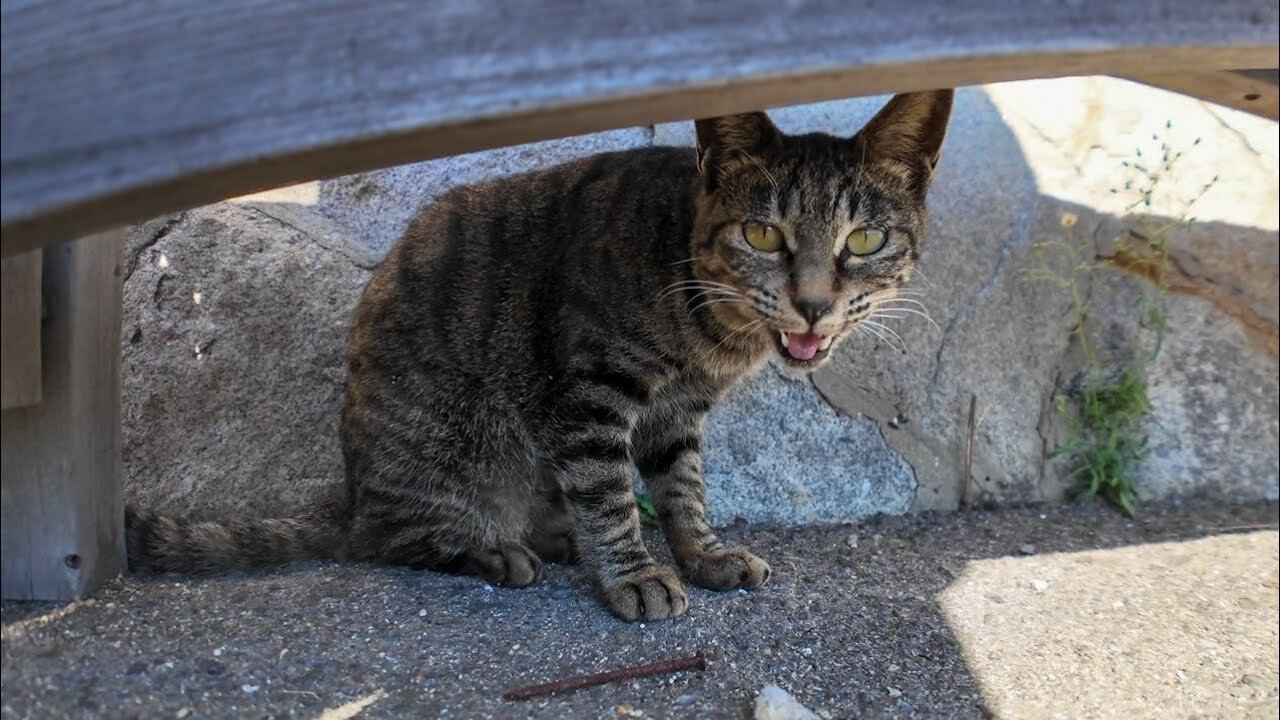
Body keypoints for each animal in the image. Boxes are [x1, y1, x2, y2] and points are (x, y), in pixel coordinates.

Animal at [127, 88, 952, 617]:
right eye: (762, 234)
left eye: (864, 240)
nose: (812, 303)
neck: (713, 334)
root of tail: (352, 493)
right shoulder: (588, 396)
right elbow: (612, 497)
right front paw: (634, 576)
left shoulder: (677, 414)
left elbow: (684, 488)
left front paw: (703, 552)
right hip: (447, 445)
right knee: (391, 539)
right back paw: (495, 552)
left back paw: (551, 536)